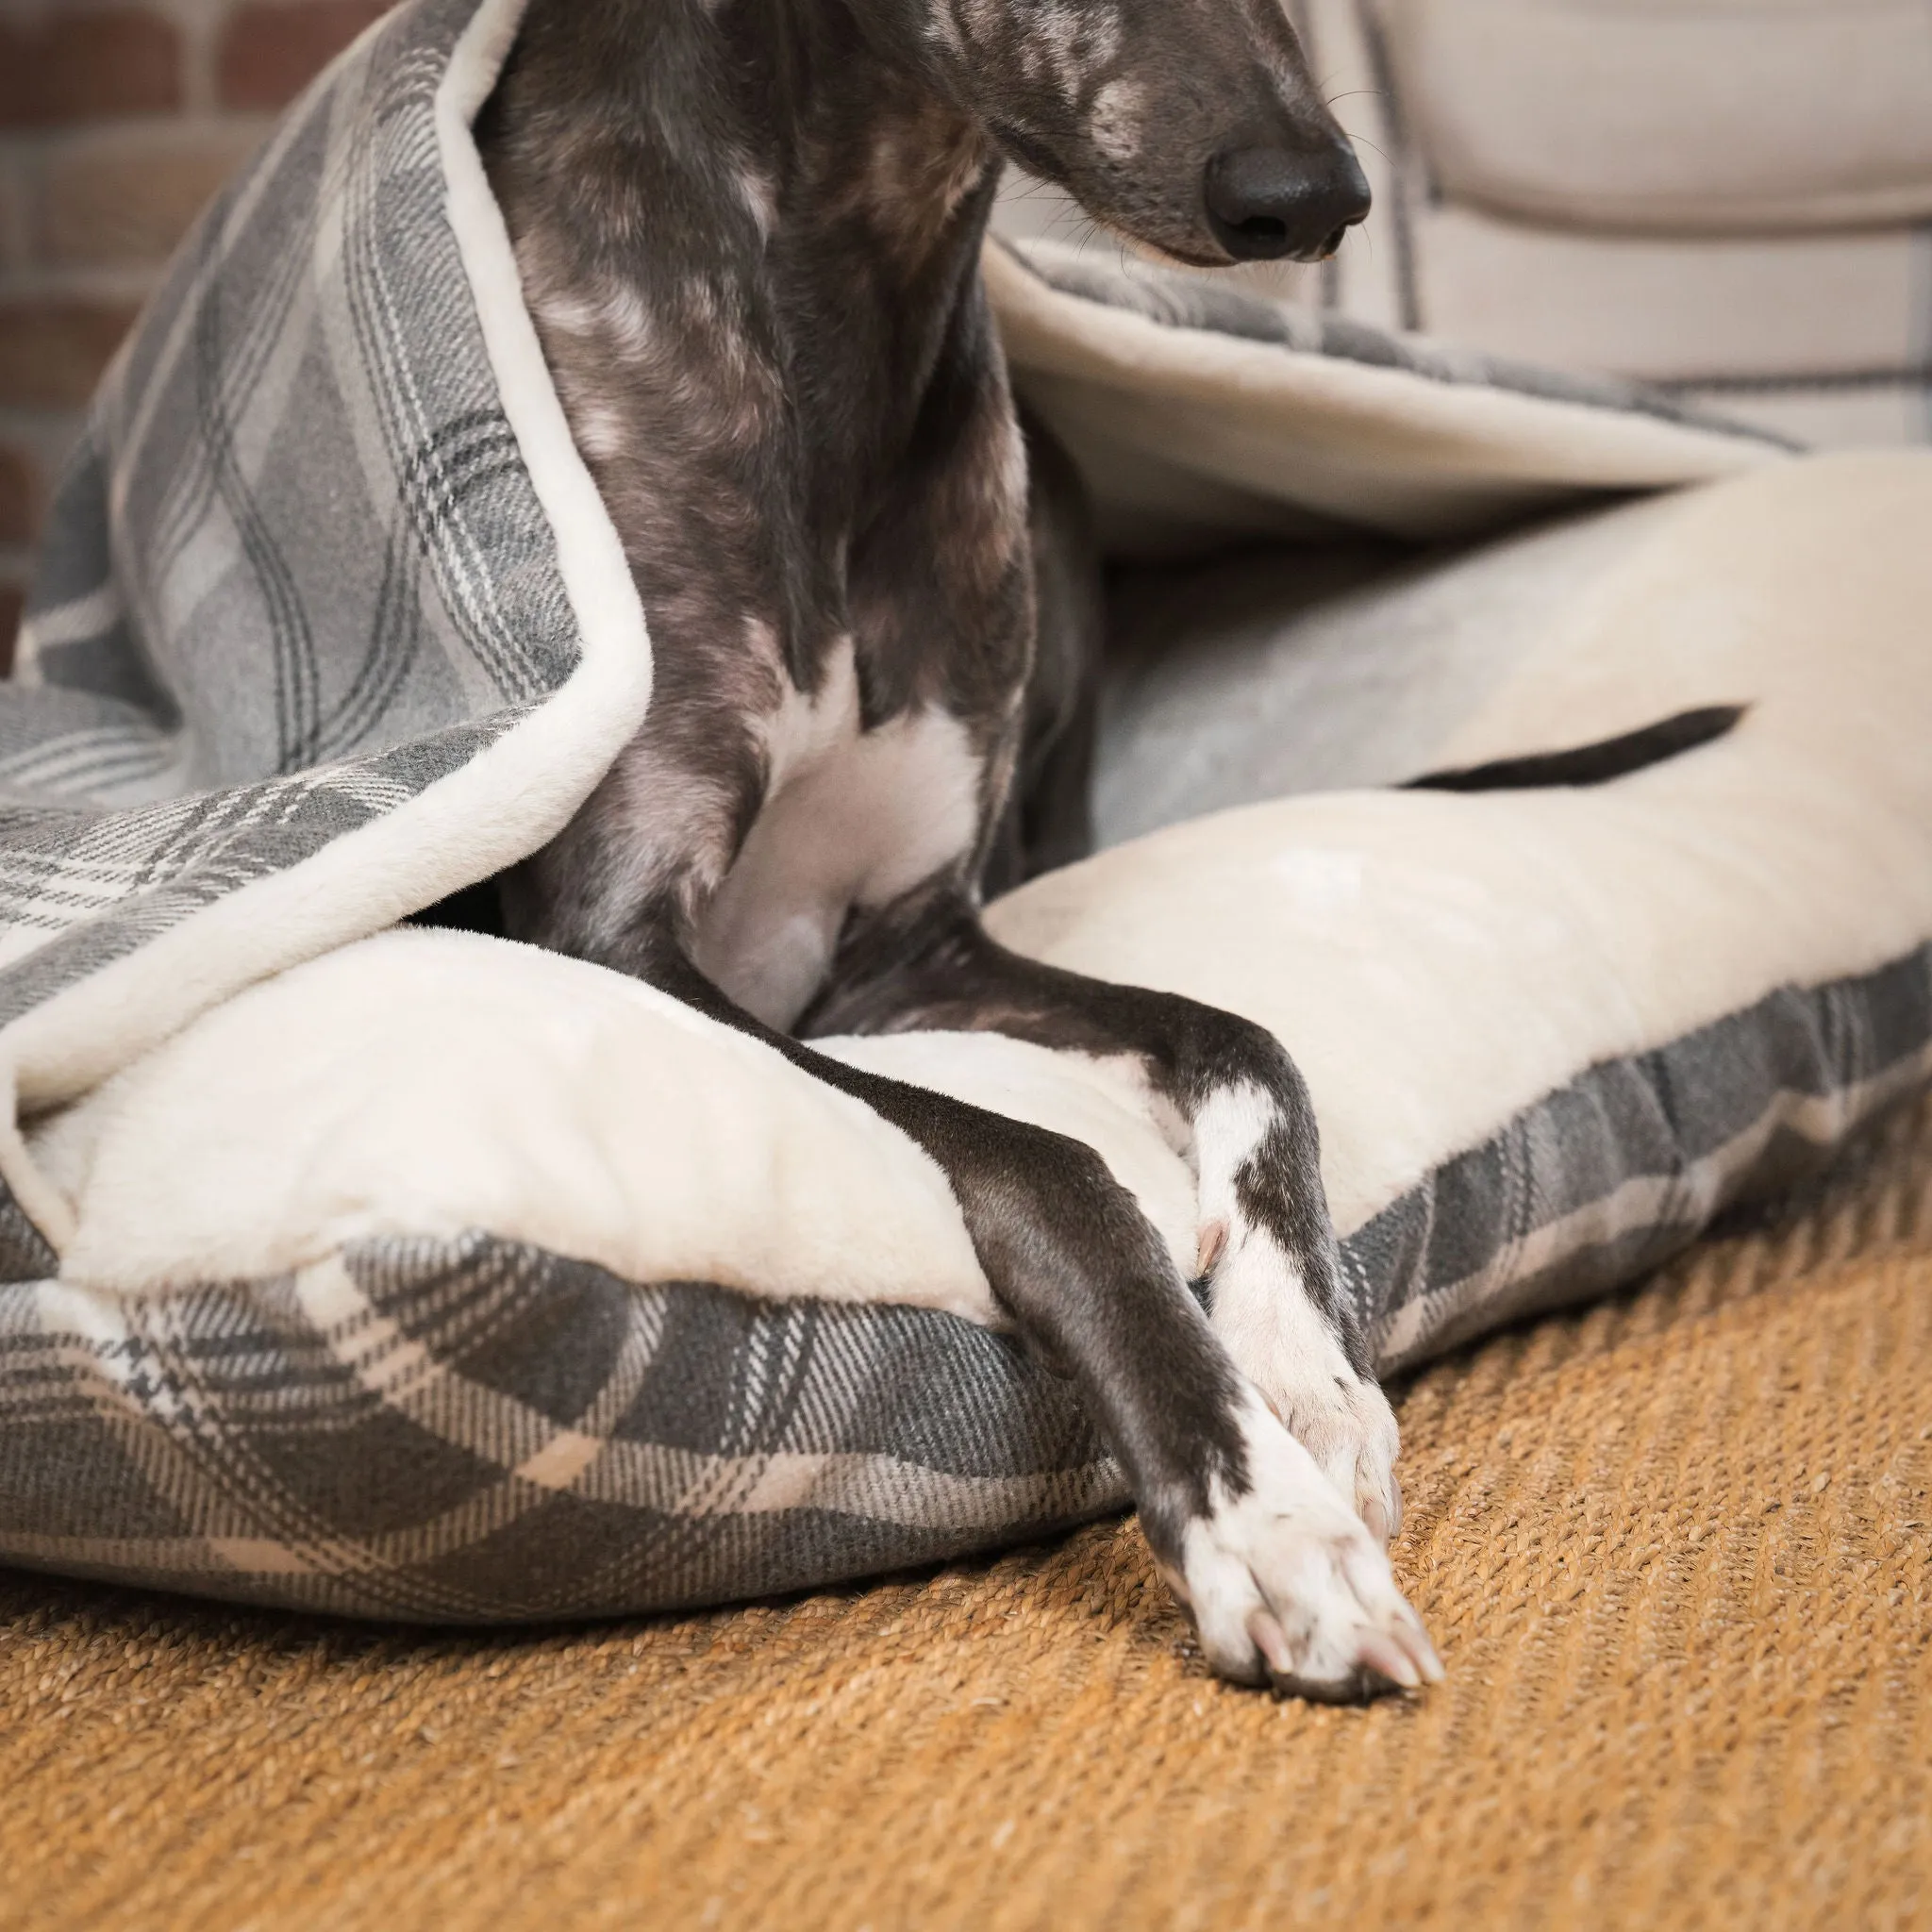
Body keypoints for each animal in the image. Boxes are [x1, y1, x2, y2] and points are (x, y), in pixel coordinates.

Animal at [463, 0, 1437, 1700]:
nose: (1305, 197)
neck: (855, 280)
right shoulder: (621, 939)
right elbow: (1054, 1165)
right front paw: (1259, 1514)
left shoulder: (917, 943)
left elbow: (1246, 1040)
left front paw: (1306, 1368)